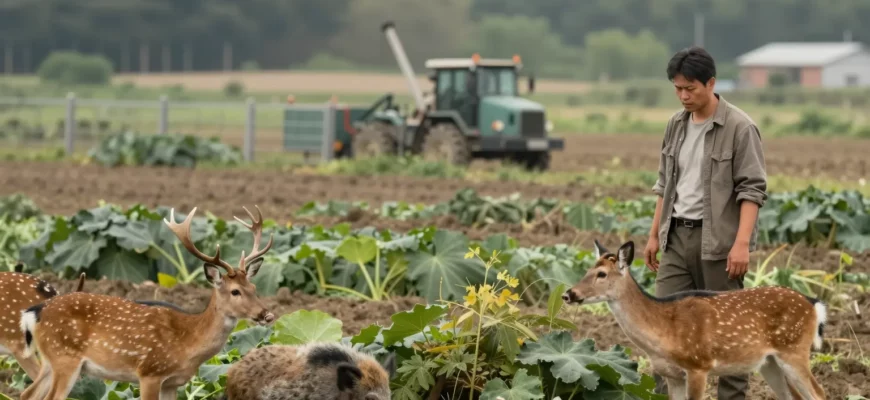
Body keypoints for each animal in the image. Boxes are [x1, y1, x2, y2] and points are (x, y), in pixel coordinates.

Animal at [18, 205, 277, 400]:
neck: (188, 342)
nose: (267, 314)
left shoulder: (172, 382)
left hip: (50, 360)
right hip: (65, 358)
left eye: (254, 288)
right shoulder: (150, 372)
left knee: (27, 394)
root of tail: (35, 312)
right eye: (235, 291)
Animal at [561, 240, 826, 400]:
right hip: (769, 362)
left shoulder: (699, 365)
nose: (568, 294)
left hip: (794, 350)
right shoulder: (672, 374)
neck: (663, 334)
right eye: (586, 270)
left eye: (601, 274)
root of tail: (814, 304)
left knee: (819, 393)